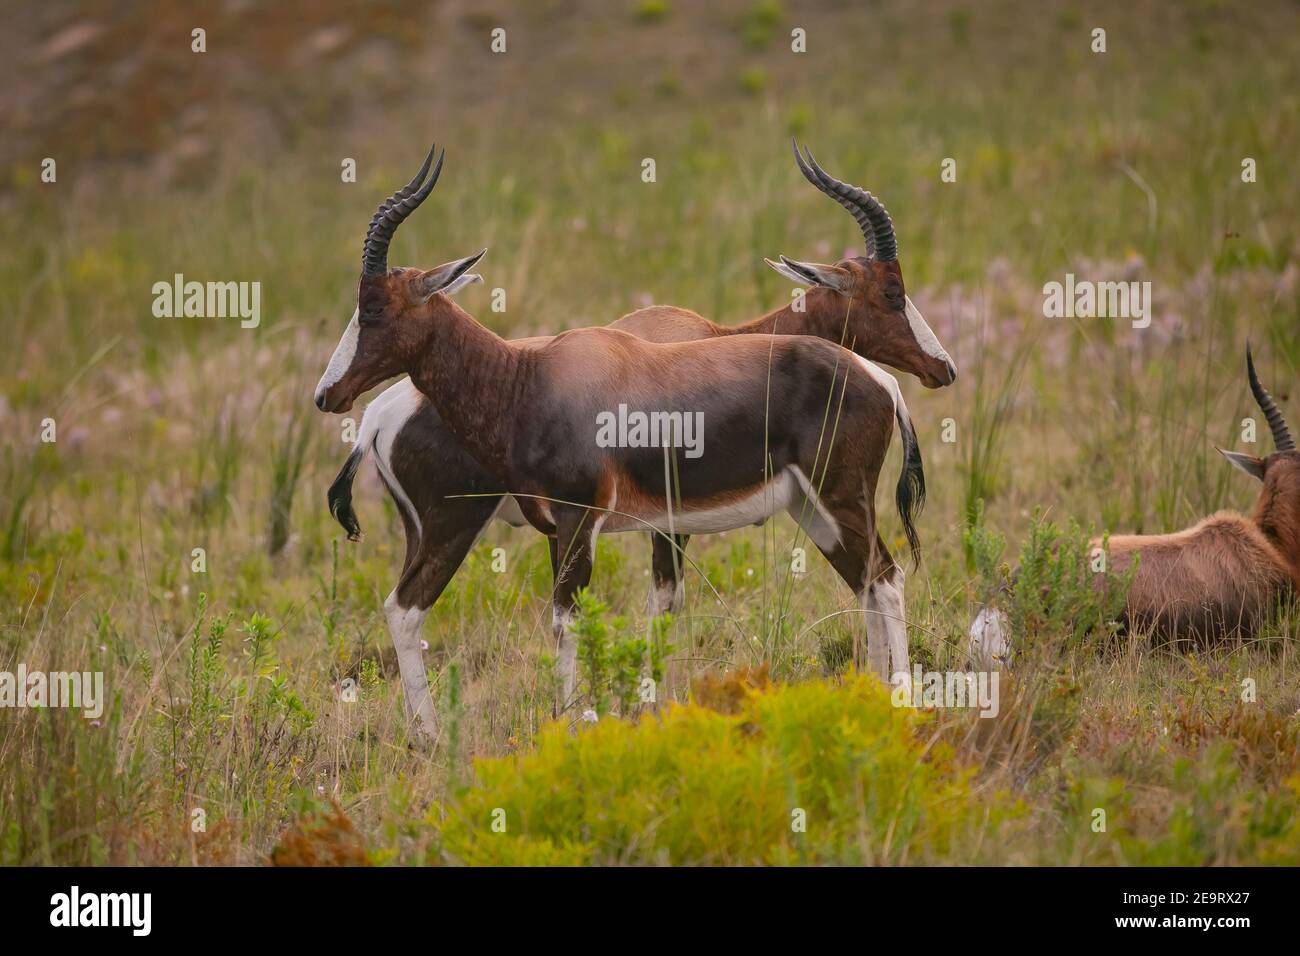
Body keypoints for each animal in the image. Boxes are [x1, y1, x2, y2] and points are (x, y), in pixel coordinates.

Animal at [319, 143, 935, 738]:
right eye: (891, 293)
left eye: (373, 305)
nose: (328, 393)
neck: (528, 375)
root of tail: (880, 381)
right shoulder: (570, 526)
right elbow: (593, 615)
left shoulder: (587, 522)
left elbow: (581, 618)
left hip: (835, 498)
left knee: (884, 578)